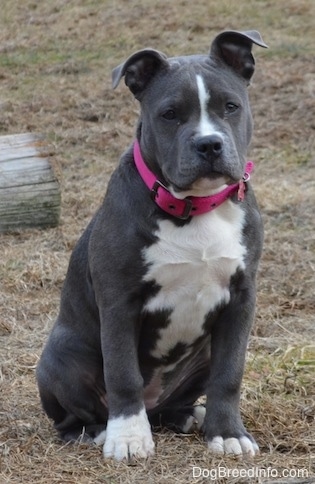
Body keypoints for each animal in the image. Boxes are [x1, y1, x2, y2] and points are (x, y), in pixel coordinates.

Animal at [38, 29, 268, 462]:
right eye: (170, 114)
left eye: (230, 106)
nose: (209, 144)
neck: (195, 208)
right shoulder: (119, 302)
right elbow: (122, 373)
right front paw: (128, 438)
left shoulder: (241, 298)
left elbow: (230, 373)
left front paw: (227, 433)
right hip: (63, 357)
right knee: (73, 416)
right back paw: (98, 431)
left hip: (201, 354)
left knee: (176, 402)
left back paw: (188, 415)